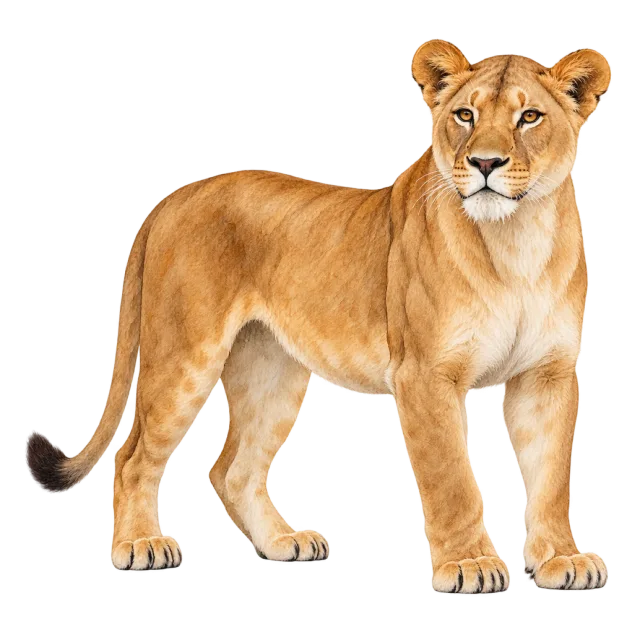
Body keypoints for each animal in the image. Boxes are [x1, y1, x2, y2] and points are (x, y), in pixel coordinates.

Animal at [25, 39, 612, 592]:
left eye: (529, 117)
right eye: (465, 116)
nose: (484, 164)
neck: (516, 242)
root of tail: (175, 197)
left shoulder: (549, 372)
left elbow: (552, 475)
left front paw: (562, 560)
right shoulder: (425, 373)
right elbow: (452, 480)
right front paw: (470, 565)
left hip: (273, 372)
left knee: (231, 469)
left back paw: (284, 542)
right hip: (182, 360)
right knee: (131, 459)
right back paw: (141, 545)